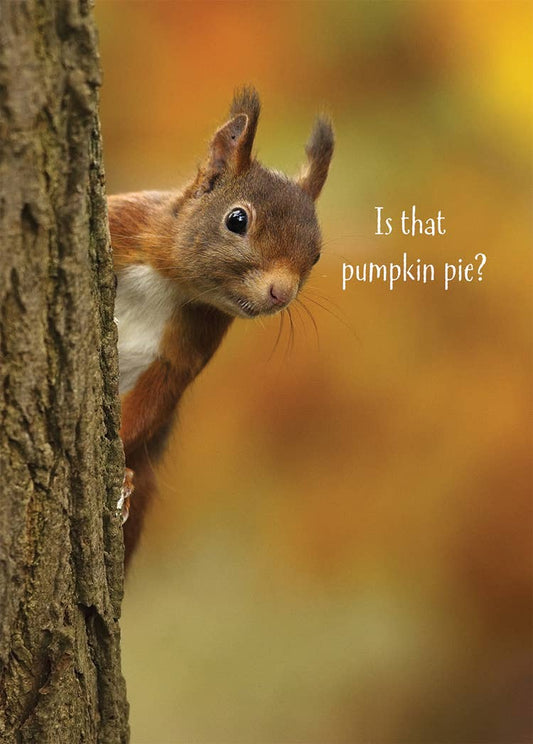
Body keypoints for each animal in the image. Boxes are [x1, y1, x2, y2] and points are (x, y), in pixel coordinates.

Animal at [108, 87, 334, 568]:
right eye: (237, 220)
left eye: (317, 254)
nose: (281, 293)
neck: (172, 281)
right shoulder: (124, 223)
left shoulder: (192, 342)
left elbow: (159, 391)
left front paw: (121, 469)